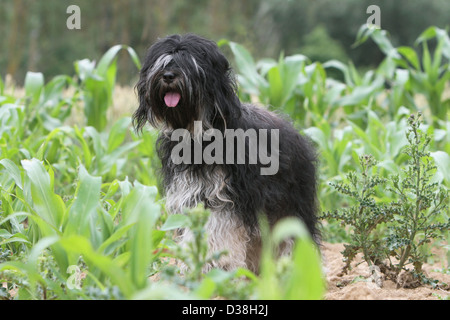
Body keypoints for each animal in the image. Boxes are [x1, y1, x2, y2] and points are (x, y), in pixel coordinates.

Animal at [134, 33, 320, 272]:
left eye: (189, 64)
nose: (168, 76)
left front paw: (215, 266)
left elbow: (217, 230)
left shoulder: (224, 196)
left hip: (292, 204)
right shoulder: (191, 193)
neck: (198, 136)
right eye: (163, 63)